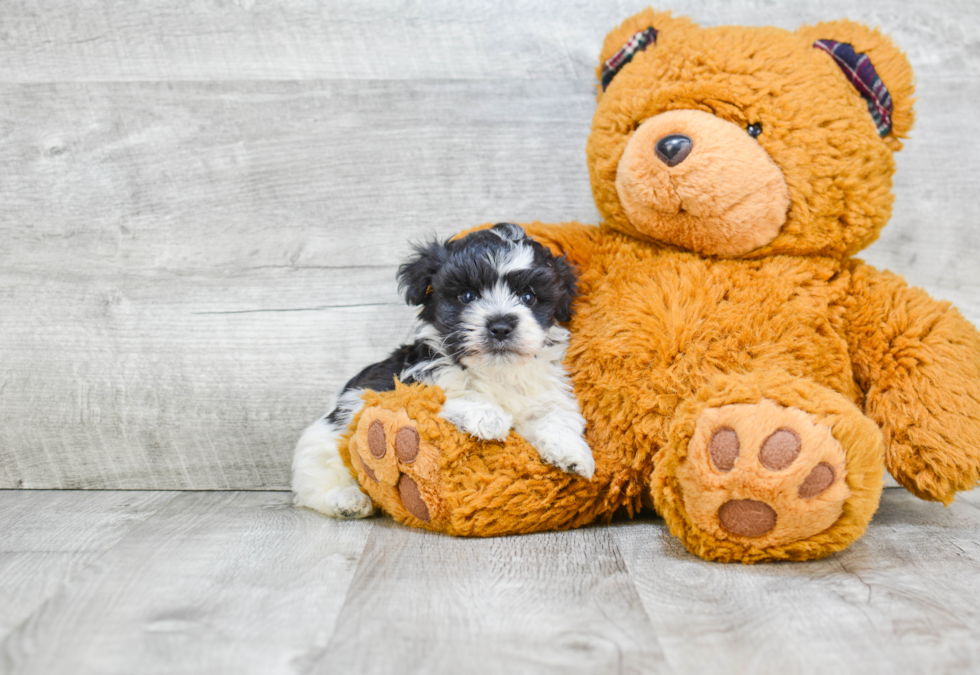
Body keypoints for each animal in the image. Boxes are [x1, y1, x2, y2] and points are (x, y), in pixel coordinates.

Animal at [290, 224, 592, 520]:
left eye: (528, 297)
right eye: (467, 296)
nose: (500, 326)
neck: (495, 370)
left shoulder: (543, 394)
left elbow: (558, 417)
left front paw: (573, 453)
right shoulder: (414, 380)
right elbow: (450, 393)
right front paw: (489, 416)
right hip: (327, 441)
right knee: (317, 480)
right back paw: (347, 500)